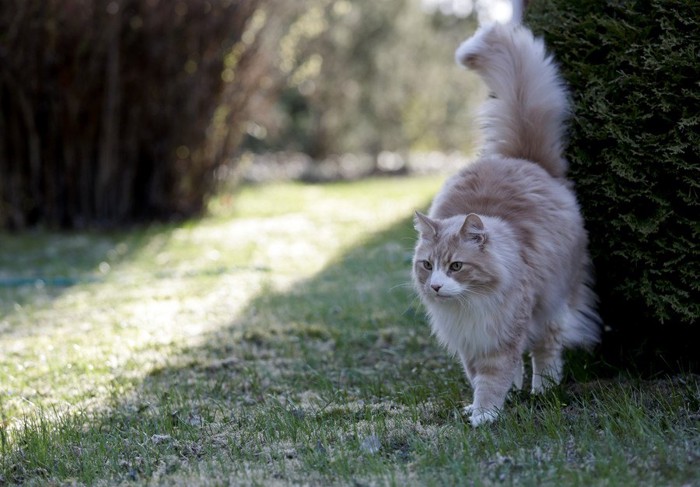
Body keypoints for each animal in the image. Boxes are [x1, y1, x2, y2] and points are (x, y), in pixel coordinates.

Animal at [410, 21, 600, 428]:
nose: (435, 286)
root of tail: (523, 160)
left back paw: (544, 389)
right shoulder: (471, 342)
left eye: (456, 266)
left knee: (546, 350)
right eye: (427, 265)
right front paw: (485, 405)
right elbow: (480, 374)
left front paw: (485, 414)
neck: (469, 305)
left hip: (552, 304)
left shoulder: (503, 334)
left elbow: (493, 376)